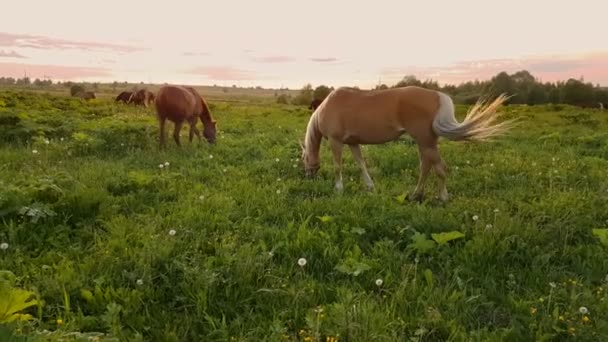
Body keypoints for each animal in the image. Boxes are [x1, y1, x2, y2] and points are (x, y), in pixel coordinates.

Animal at [300, 85, 512, 202]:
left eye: (304, 159)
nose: (308, 176)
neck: (327, 107)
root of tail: (437, 95)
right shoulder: (353, 143)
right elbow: (361, 165)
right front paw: (370, 187)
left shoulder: (336, 142)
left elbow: (338, 167)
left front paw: (338, 189)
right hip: (424, 143)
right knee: (426, 167)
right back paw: (416, 195)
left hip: (426, 143)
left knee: (439, 168)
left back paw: (442, 197)